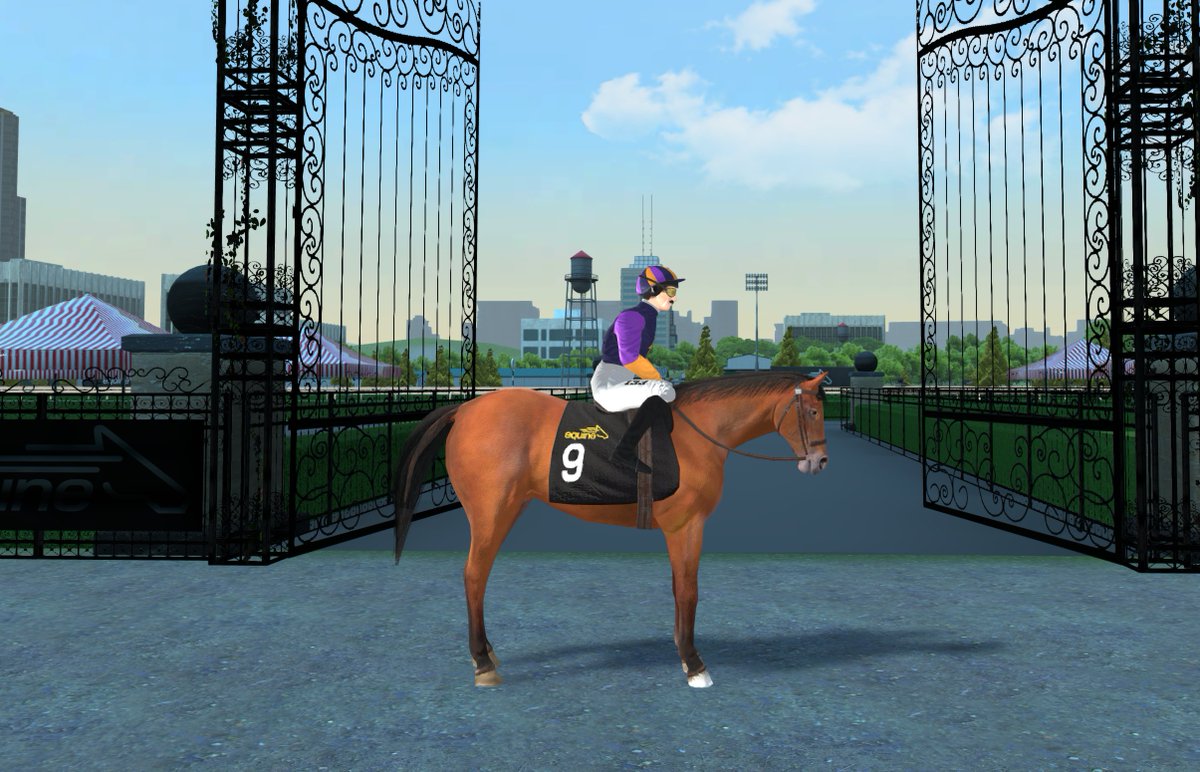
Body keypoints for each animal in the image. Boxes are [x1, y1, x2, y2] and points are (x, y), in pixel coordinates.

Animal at [391, 370, 830, 688]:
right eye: (811, 412)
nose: (820, 462)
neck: (698, 433)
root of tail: (465, 411)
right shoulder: (686, 525)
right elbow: (688, 591)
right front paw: (694, 664)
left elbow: (679, 589)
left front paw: (681, 651)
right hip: (490, 511)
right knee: (474, 575)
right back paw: (483, 663)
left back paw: (487, 653)